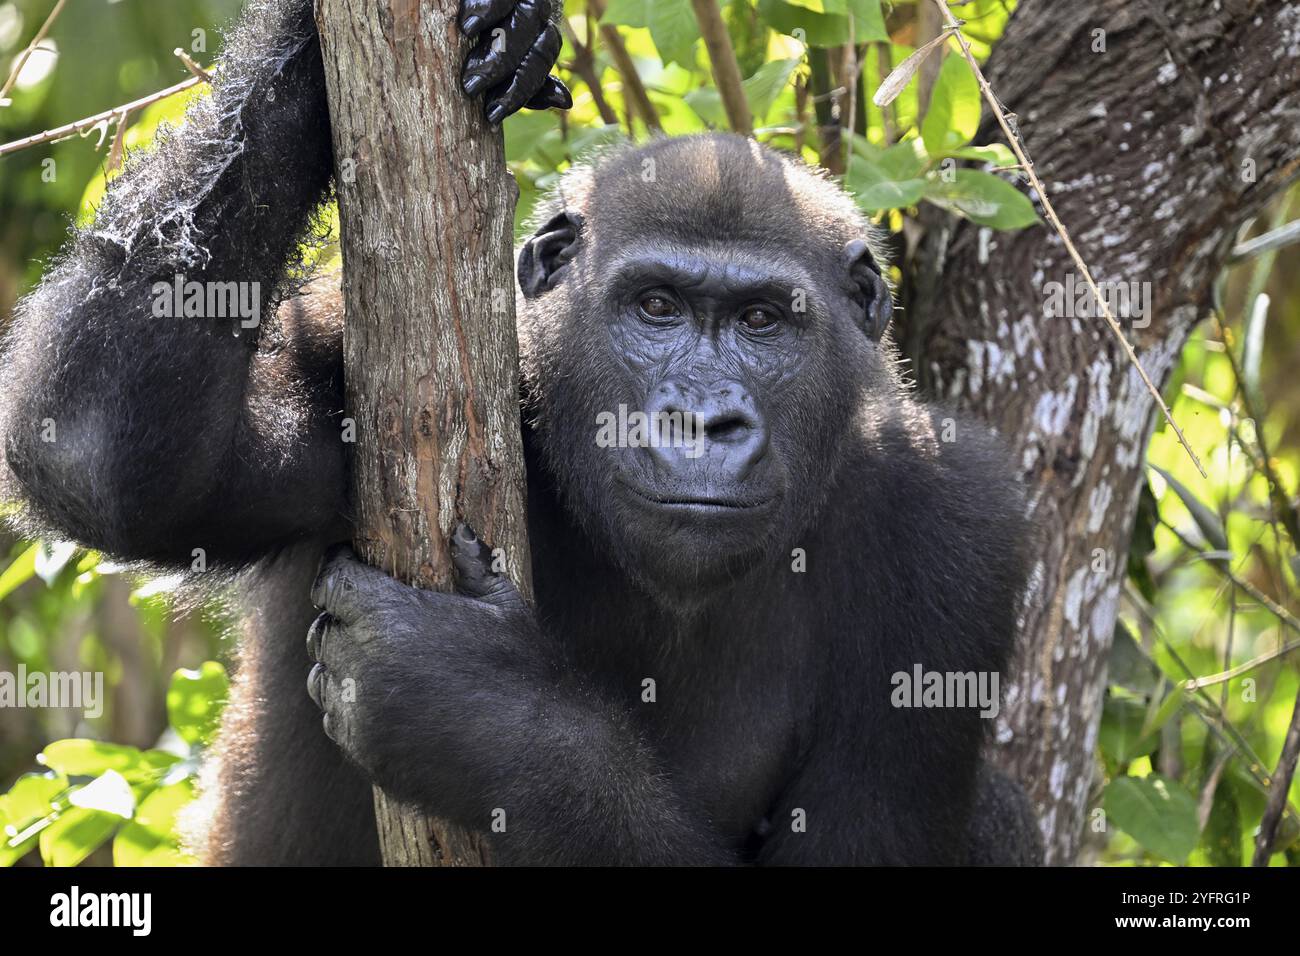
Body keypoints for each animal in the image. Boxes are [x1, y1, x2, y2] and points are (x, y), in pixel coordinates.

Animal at [0, 0, 1034, 868]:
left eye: (762, 322)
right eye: (656, 307)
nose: (702, 418)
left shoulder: (962, 520)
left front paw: (488, 711)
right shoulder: (344, 346)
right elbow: (107, 462)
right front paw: (336, 45)